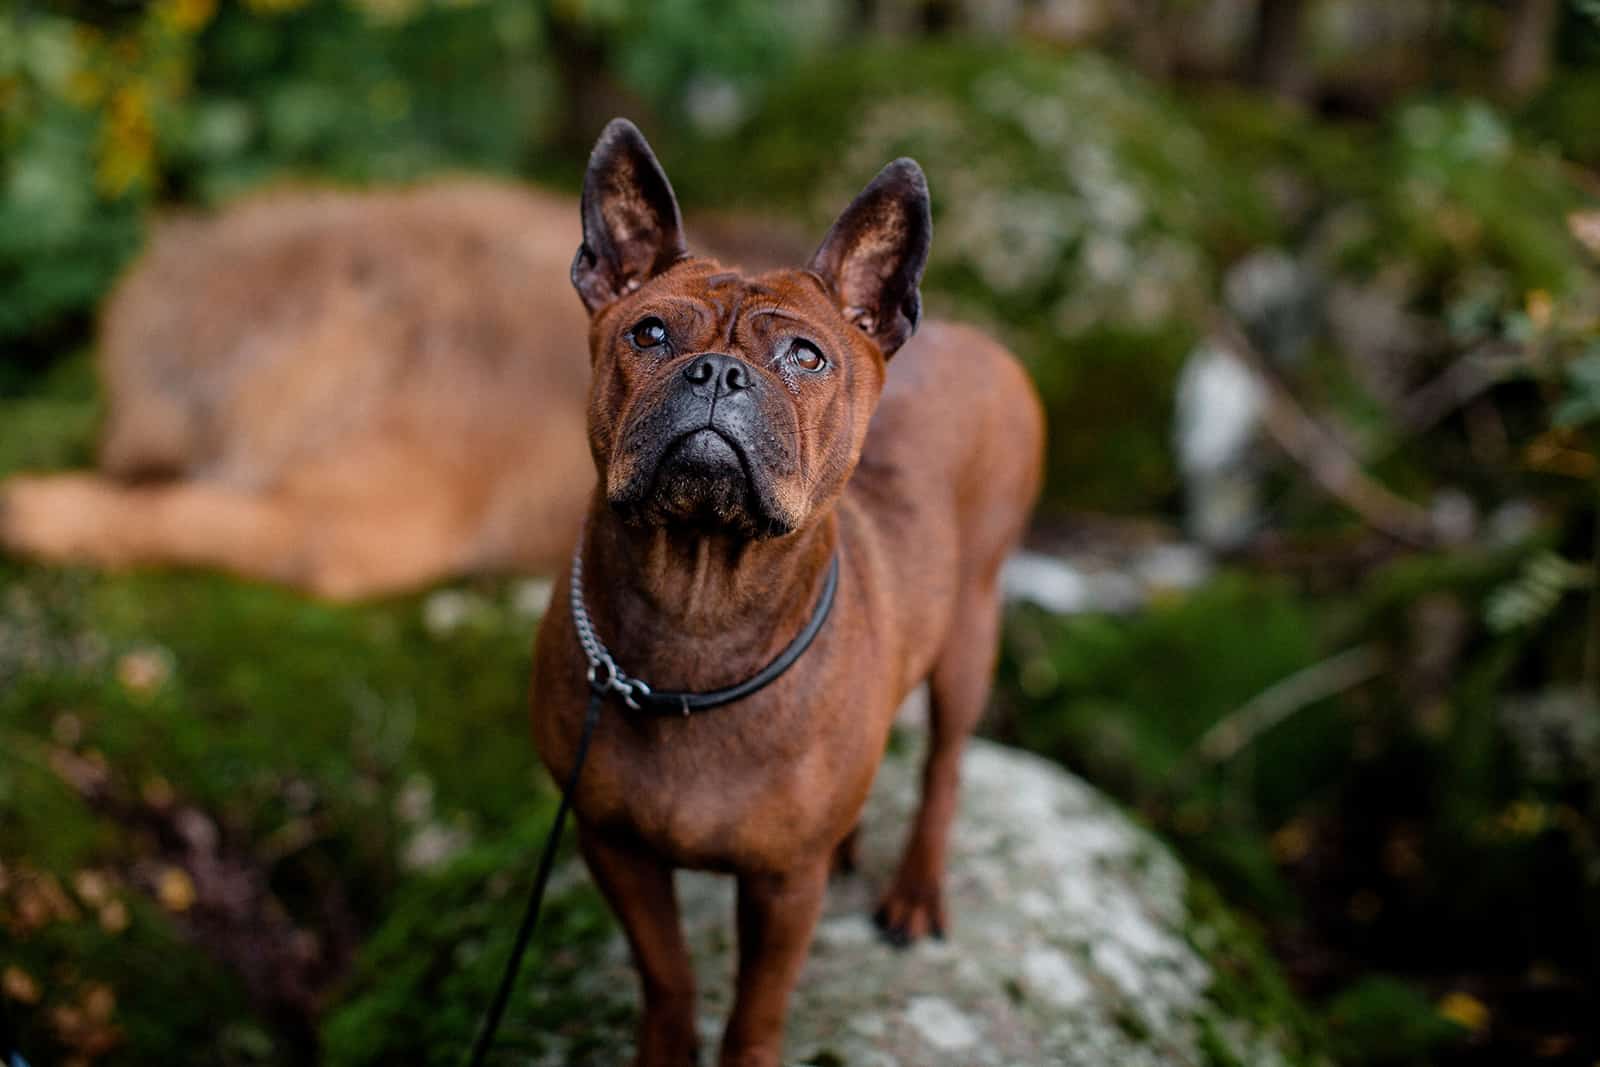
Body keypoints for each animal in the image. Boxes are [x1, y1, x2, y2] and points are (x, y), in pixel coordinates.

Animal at [531, 120, 1043, 1062]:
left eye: (804, 355)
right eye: (649, 334)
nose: (716, 373)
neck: (697, 604)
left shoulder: (781, 886)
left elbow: (756, 1006)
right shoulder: (613, 846)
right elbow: (668, 973)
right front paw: (664, 1049)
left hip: (971, 632)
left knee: (945, 764)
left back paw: (916, 891)